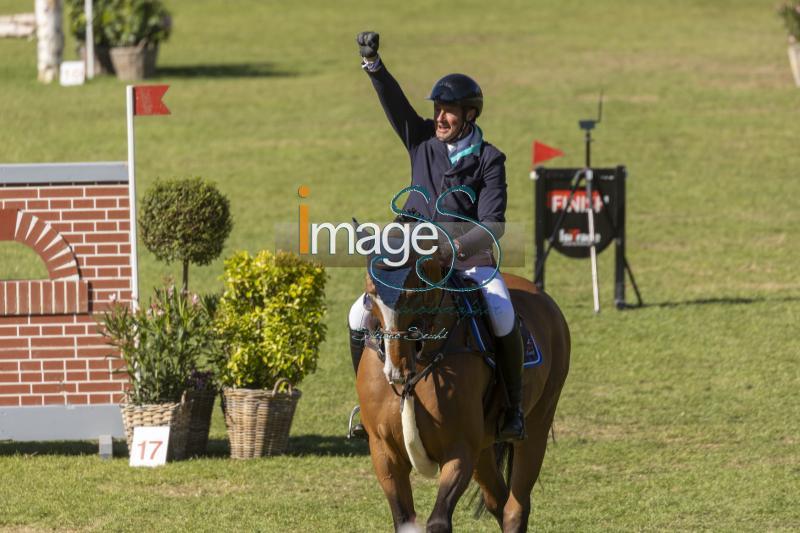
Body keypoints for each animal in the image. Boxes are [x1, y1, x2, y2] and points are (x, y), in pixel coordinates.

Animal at [354, 255, 568, 532]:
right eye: (372, 295)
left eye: (414, 294)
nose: (395, 368)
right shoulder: (385, 452)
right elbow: (404, 521)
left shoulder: (459, 450)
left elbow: (438, 521)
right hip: (484, 447)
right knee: (498, 501)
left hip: (537, 426)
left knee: (515, 508)